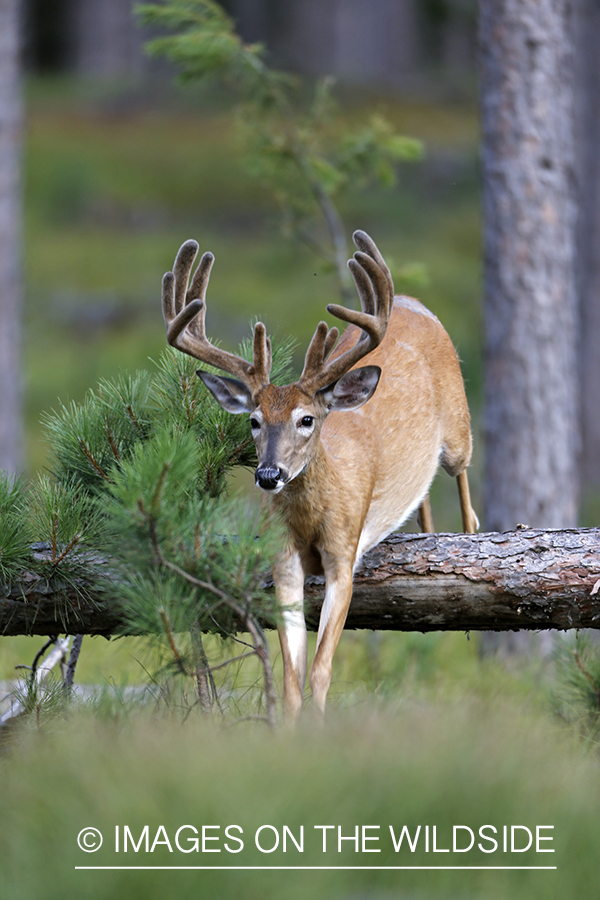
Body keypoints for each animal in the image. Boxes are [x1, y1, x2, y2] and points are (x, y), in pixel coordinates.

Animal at [161, 230, 478, 716]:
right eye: (253, 420)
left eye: (306, 419)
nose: (268, 475)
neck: (311, 517)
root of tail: (411, 300)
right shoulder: (283, 559)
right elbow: (291, 675)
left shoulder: (344, 553)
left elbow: (321, 670)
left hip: (459, 425)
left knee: (465, 481)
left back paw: (468, 541)